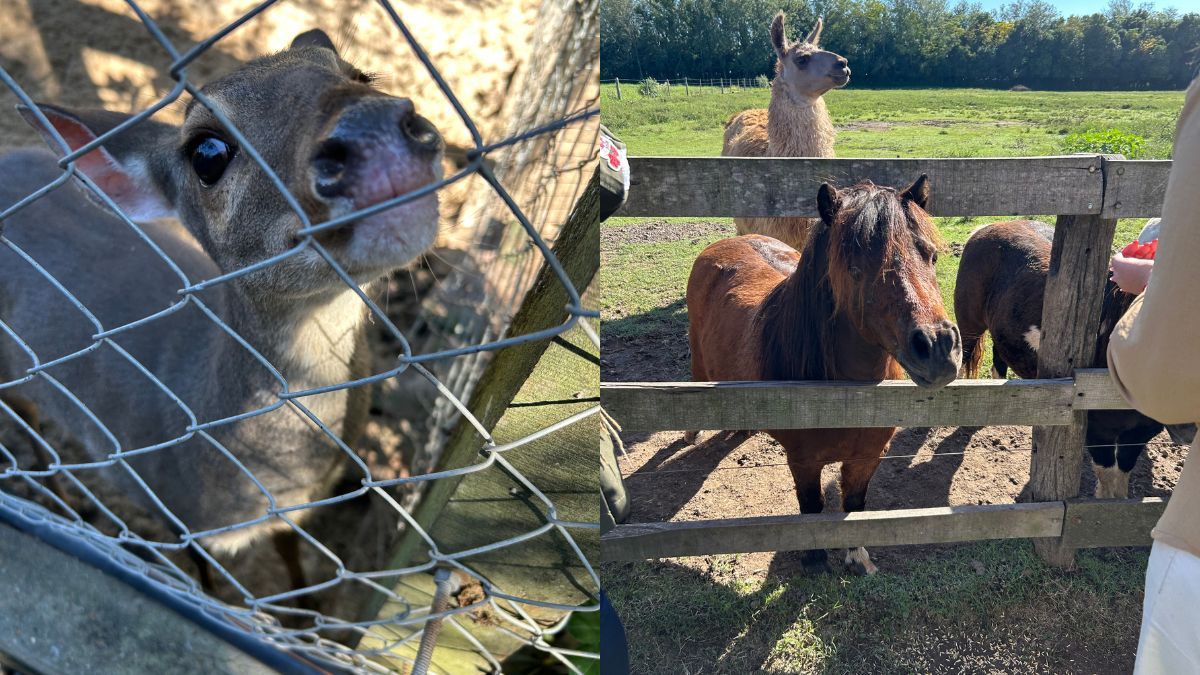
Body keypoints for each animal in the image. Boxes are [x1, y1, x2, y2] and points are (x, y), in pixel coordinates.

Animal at [684, 177, 962, 574]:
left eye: (931, 256)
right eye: (855, 268)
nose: (938, 348)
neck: (841, 397)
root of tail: (724, 244)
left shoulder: (867, 457)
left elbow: (855, 505)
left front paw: (857, 557)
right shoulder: (803, 461)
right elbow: (811, 508)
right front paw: (814, 560)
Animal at [954, 219, 1196, 498]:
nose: (1188, 429)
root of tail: (988, 227)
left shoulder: (1140, 432)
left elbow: (1122, 474)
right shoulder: (1096, 428)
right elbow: (1107, 474)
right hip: (970, 326)